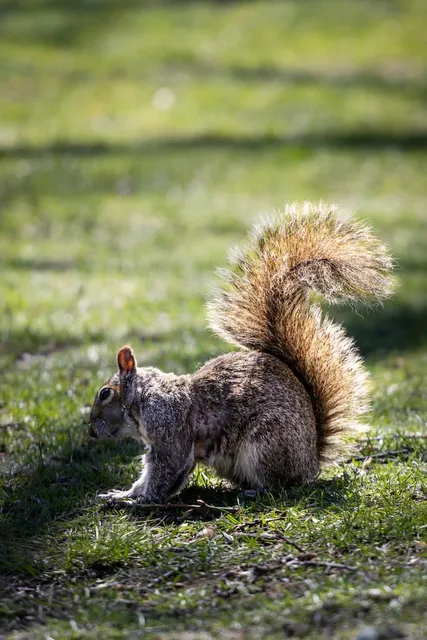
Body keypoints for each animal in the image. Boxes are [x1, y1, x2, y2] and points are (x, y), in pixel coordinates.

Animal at [88, 202, 394, 503]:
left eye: (105, 393)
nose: (90, 431)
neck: (143, 398)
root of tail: (311, 461)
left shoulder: (169, 429)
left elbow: (167, 470)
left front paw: (136, 500)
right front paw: (122, 493)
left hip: (266, 442)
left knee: (282, 484)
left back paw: (256, 490)